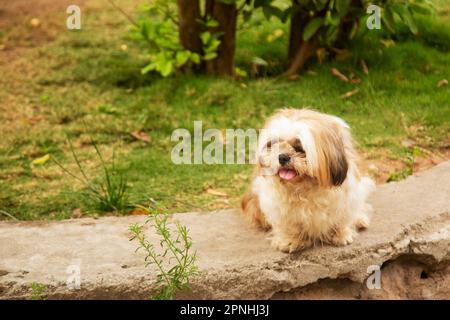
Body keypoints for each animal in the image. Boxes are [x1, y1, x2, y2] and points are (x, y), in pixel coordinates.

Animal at [241, 109, 374, 254]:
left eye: (300, 148)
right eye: (273, 145)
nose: (282, 157)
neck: (304, 187)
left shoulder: (345, 200)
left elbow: (341, 220)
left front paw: (341, 234)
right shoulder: (278, 209)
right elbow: (290, 227)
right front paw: (290, 240)